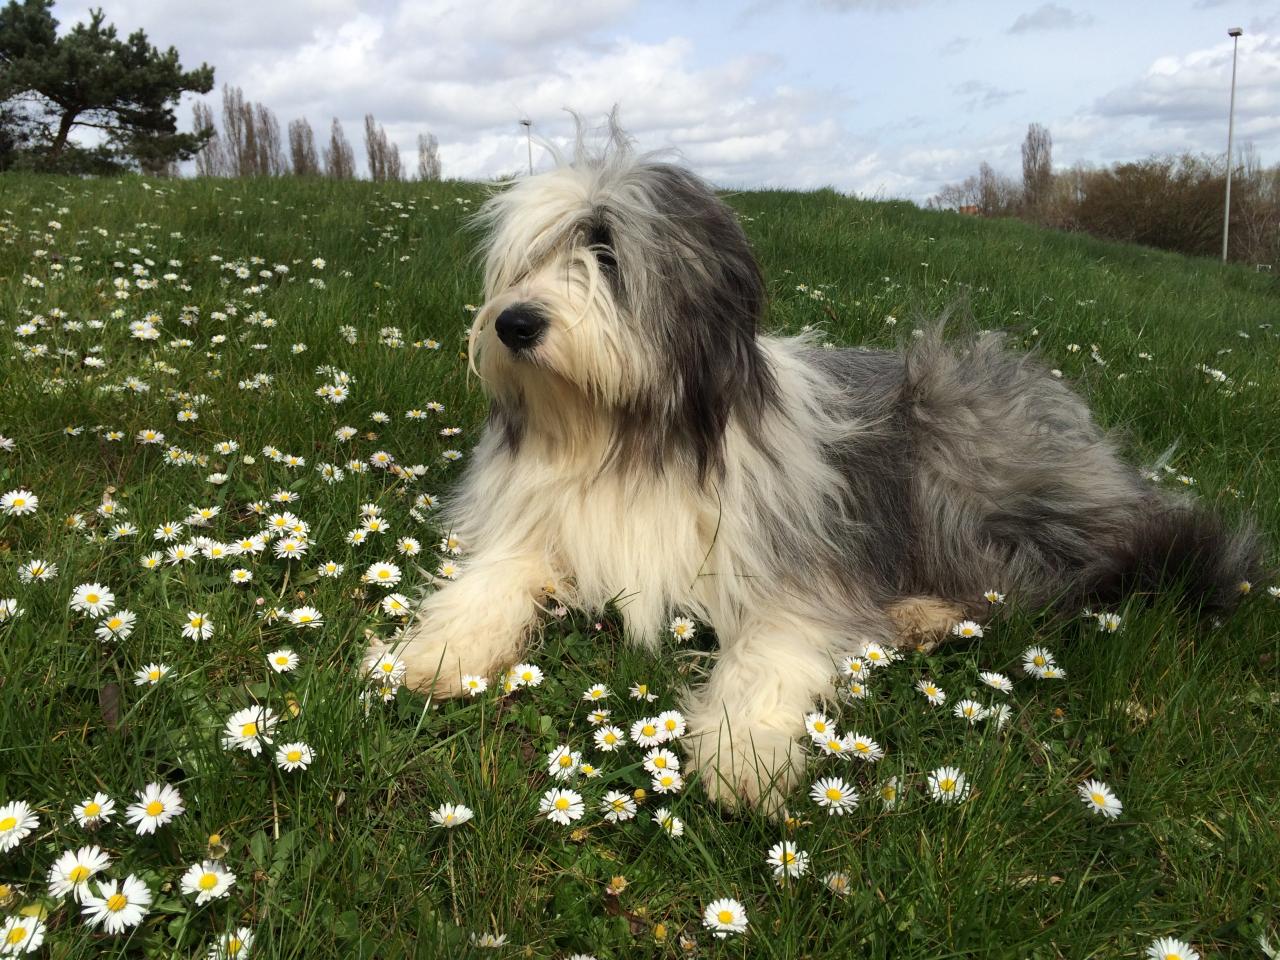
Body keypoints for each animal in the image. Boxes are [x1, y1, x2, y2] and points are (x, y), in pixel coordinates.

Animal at [378, 118, 1259, 814]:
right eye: (522, 263)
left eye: (606, 252)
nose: (514, 324)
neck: (628, 437)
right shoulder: (540, 521)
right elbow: (499, 572)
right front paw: (438, 652)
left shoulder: (801, 555)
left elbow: (776, 640)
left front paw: (742, 752)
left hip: (955, 439)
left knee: (1047, 581)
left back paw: (925, 614)